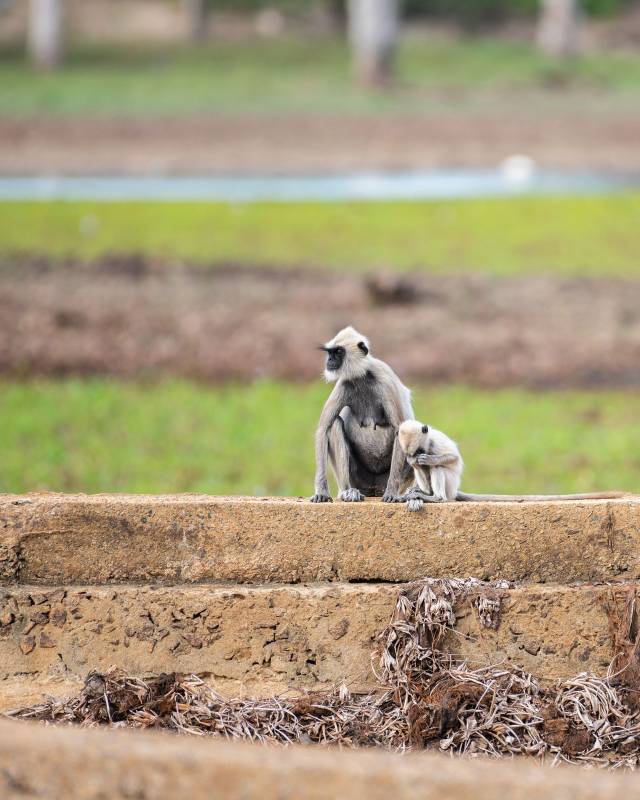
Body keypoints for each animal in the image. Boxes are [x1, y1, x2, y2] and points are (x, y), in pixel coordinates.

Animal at [310, 326, 415, 503]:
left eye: (338, 352)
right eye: (330, 352)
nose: (329, 360)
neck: (362, 376)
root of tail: (373, 488)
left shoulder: (384, 383)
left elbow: (399, 431)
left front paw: (392, 492)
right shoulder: (344, 383)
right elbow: (324, 429)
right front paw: (322, 491)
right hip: (358, 479)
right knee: (335, 423)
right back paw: (348, 492)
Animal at [398, 419, 625, 511]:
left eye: (419, 450)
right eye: (410, 453)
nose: (414, 457)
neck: (426, 443)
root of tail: (453, 492)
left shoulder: (433, 443)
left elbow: (453, 458)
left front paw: (427, 460)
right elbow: (417, 465)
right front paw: (413, 471)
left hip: (450, 486)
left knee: (438, 470)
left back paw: (436, 497)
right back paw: (421, 493)